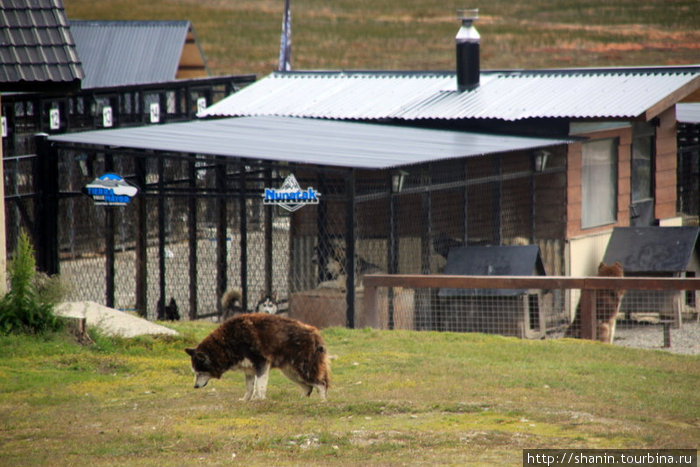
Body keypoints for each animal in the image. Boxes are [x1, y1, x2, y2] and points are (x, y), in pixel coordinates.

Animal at [185, 312, 330, 400]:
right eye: (195, 372)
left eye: (199, 372)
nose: (195, 386)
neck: (227, 342)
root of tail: (315, 332)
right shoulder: (249, 370)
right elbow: (249, 387)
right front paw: (246, 400)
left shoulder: (262, 364)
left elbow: (259, 385)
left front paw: (259, 400)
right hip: (291, 373)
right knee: (308, 387)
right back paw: (300, 402)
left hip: (302, 370)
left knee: (321, 384)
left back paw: (321, 402)